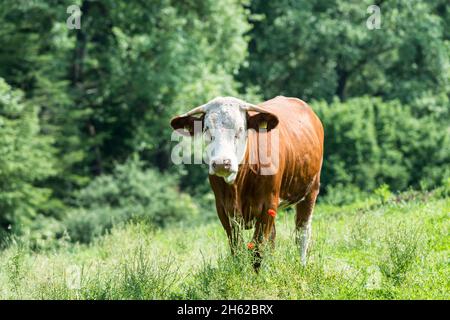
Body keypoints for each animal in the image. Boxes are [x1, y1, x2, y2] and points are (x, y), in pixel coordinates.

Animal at [171, 95, 324, 270]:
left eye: (240, 129)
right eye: (206, 130)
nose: (222, 163)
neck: (237, 186)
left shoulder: (268, 205)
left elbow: (257, 249)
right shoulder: (223, 209)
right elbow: (237, 248)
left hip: (311, 190)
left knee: (302, 233)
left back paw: (301, 265)